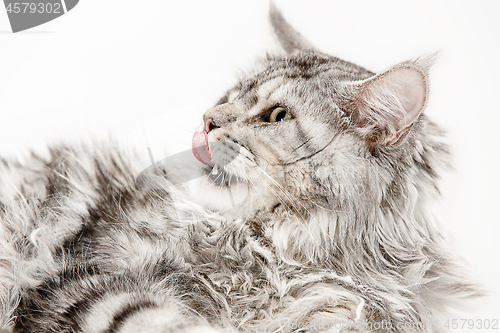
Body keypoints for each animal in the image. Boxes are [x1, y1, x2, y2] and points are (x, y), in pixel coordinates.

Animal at [0, 3, 480, 332]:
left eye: (277, 116)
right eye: (229, 96)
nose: (208, 119)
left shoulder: (356, 305)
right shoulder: (84, 273)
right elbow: (156, 319)